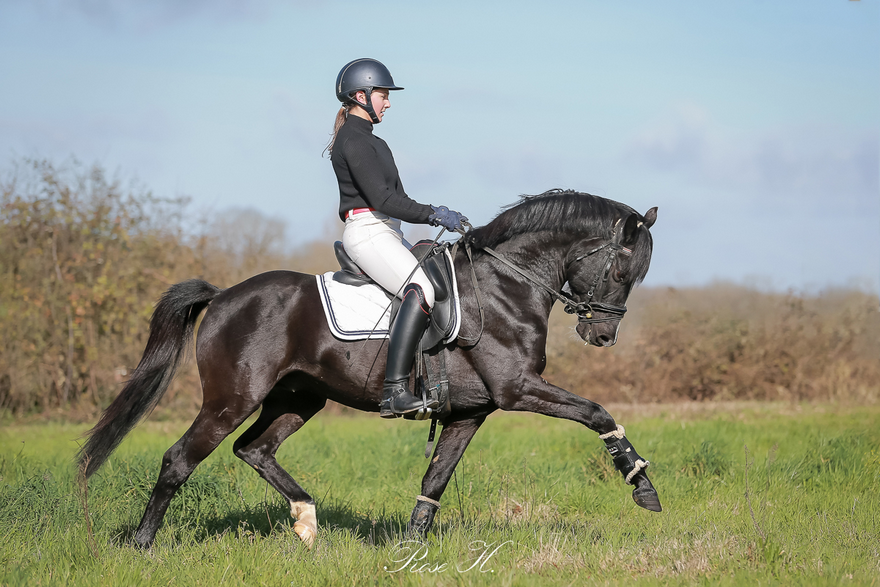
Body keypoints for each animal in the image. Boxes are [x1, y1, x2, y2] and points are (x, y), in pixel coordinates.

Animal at [81, 191, 660, 548]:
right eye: (620, 272)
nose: (602, 336)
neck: (505, 286)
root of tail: (224, 296)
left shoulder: (471, 411)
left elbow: (436, 478)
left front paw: (411, 546)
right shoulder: (517, 389)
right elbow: (596, 412)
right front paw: (642, 485)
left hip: (299, 398)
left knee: (255, 449)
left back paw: (307, 520)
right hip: (231, 400)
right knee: (180, 459)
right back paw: (143, 545)